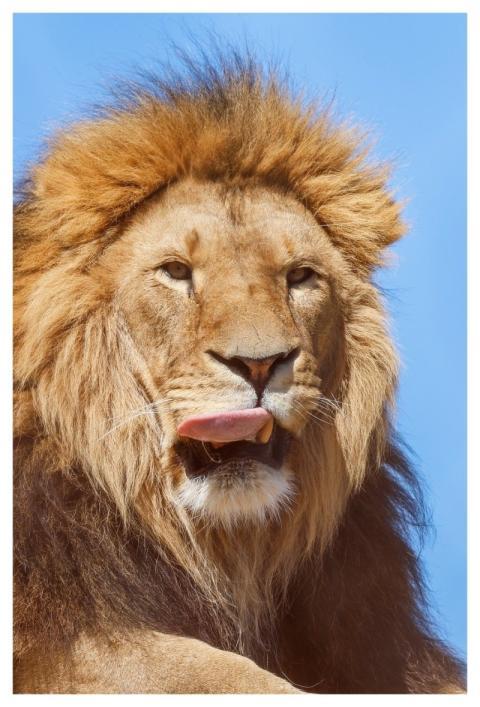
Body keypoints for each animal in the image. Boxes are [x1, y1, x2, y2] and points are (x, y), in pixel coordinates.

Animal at [13, 53, 465, 693]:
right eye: (176, 272)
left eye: (300, 276)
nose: (258, 364)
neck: (230, 551)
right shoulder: (63, 642)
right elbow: (222, 674)